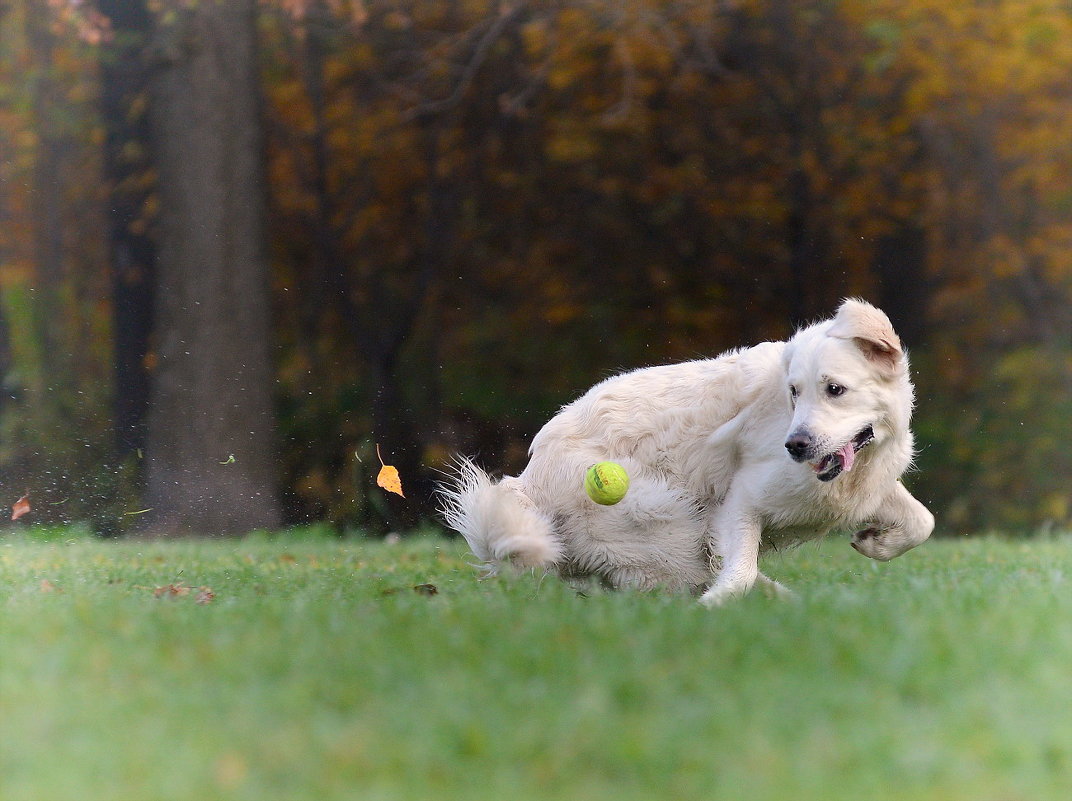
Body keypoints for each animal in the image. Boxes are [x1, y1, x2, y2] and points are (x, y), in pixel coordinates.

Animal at [439, 300, 934, 609]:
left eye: (835, 389)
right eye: (794, 392)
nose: (795, 445)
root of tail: (528, 484)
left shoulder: (864, 488)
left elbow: (922, 522)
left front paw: (876, 542)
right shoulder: (742, 502)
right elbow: (738, 573)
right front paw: (713, 608)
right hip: (666, 520)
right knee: (699, 572)